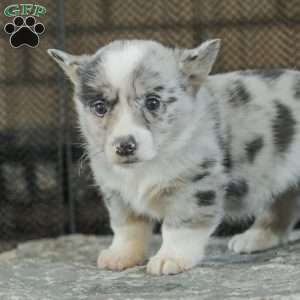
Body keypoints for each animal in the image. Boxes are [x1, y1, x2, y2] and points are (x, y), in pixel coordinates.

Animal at [47, 39, 300, 274]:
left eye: (153, 102)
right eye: (100, 107)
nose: (125, 146)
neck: (144, 168)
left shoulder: (195, 187)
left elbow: (178, 228)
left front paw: (170, 258)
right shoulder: (117, 194)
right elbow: (127, 228)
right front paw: (120, 256)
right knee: (284, 203)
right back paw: (257, 237)